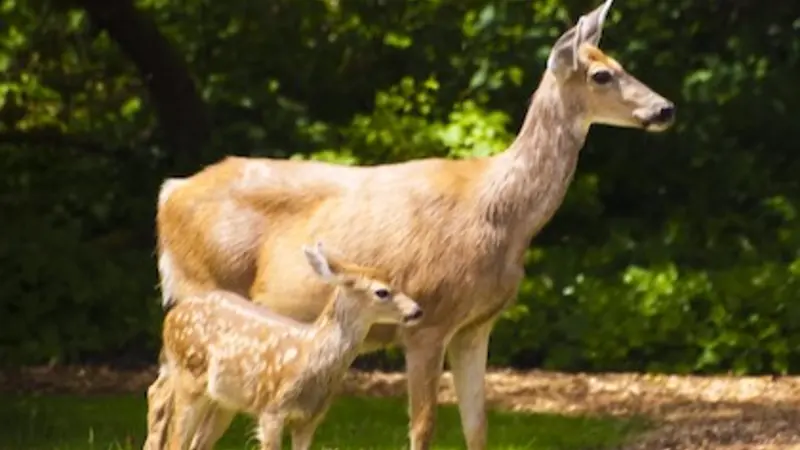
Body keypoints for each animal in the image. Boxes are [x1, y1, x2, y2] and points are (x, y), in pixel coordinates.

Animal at [156, 242, 423, 450]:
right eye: (382, 292)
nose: (417, 311)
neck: (309, 357)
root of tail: (171, 316)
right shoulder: (271, 411)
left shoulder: (310, 419)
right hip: (189, 379)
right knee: (175, 441)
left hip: (224, 401)